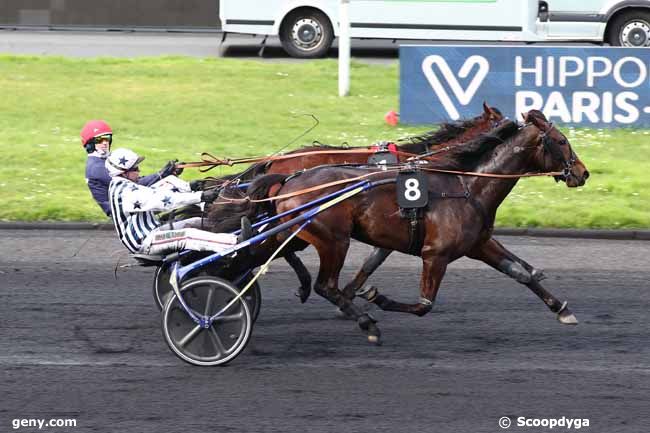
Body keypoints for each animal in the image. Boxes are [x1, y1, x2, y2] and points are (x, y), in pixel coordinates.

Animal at [228, 111, 588, 344]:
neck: (466, 184)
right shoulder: (435, 254)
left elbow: (521, 273)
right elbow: (422, 304)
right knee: (325, 284)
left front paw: (561, 308)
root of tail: (284, 175)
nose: (582, 173)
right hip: (333, 240)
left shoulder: (479, 244)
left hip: (294, 233)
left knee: (266, 255)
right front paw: (374, 297)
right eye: (560, 141)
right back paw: (365, 322)